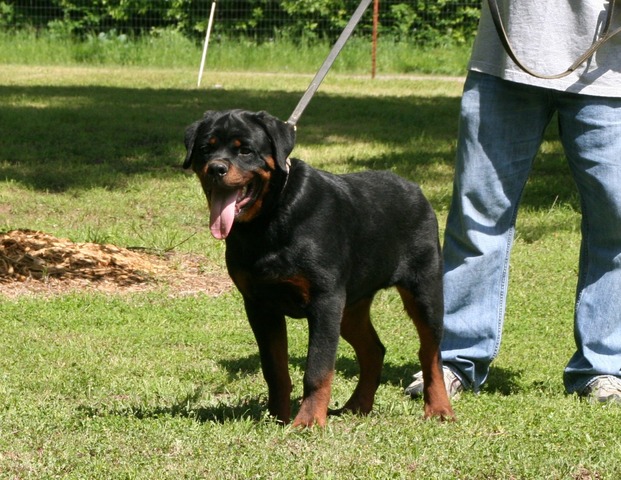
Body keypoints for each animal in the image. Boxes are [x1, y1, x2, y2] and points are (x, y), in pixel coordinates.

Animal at [182, 109, 452, 428]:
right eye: (205, 148)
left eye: (245, 150)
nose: (216, 168)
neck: (269, 218)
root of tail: (416, 189)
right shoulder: (260, 305)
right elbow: (274, 369)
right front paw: (278, 417)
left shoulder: (325, 302)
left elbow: (317, 369)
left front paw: (308, 421)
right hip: (351, 306)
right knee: (374, 350)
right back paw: (357, 406)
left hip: (424, 289)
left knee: (431, 353)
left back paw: (439, 408)